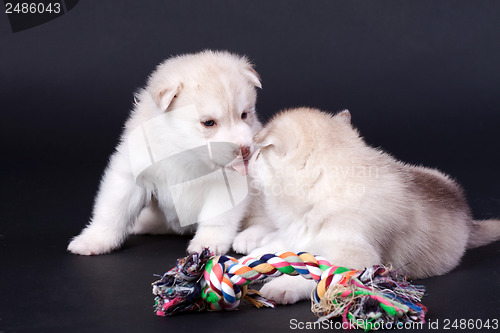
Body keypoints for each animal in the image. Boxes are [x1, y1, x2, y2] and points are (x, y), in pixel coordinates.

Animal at [69, 50, 264, 254]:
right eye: (208, 123)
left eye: (244, 115)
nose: (245, 149)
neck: (184, 152)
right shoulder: (130, 172)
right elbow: (112, 210)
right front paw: (95, 239)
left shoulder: (227, 187)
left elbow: (216, 218)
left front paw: (208, 243)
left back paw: (251, 237)